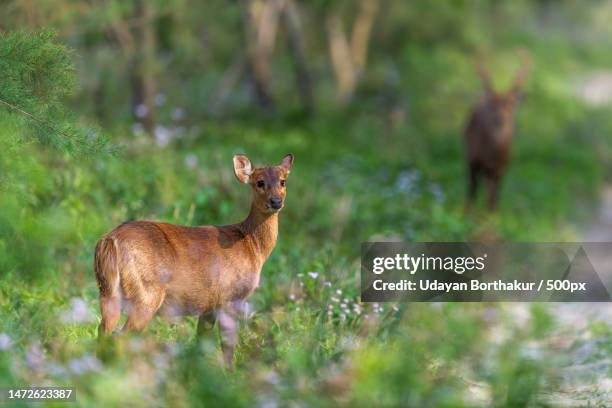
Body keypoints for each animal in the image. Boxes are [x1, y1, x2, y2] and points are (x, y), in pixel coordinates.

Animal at [95, 153, 294, 366]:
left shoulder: (209, 305)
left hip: (108, 291)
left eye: (283, 181)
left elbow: (201, 341)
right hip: (145, 294)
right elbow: (227, 346)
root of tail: (110, 241)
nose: (276, 201)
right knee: (122, 337)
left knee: (103, 331)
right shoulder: (231, 297)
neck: (251, 245)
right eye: (259, 182)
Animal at [466, 50, 528, 210]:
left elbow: (493, 202)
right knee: (472, 191)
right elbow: (472, 193)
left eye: (511, 104)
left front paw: (490, 217)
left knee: (489, 194)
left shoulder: (502, 169)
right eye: (493, 103)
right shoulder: (474, 160)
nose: (501, 118)